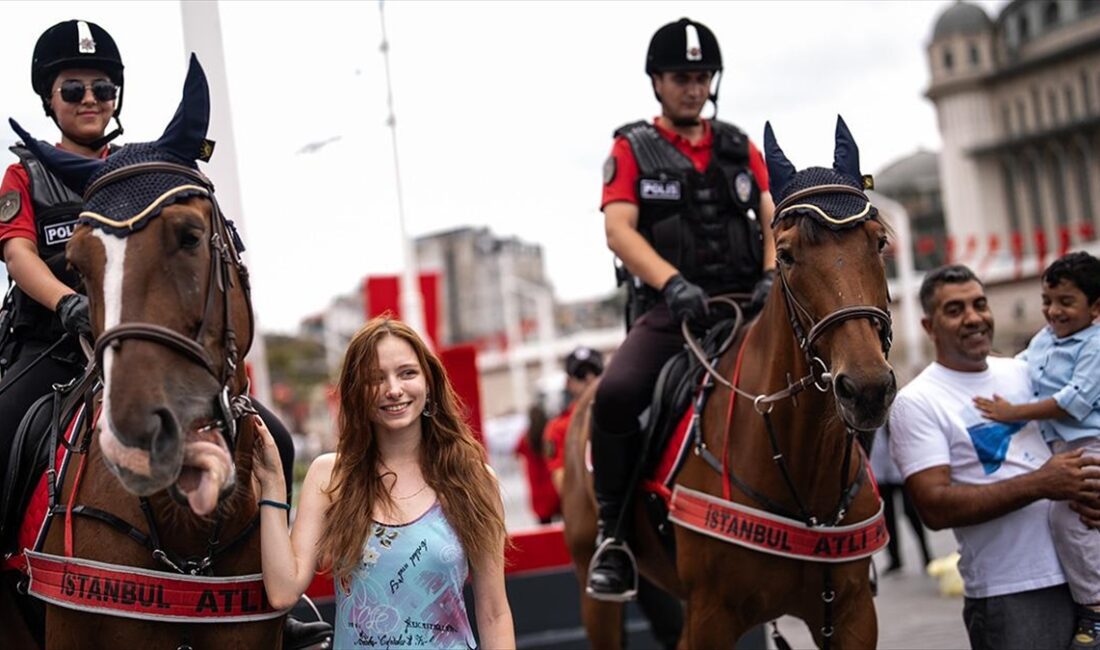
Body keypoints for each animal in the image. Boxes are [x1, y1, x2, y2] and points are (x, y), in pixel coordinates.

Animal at [563, 118, 897, 650]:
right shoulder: (710, 619)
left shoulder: (851, 615)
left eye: (879, 242)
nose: (865, 387)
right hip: (595, 594)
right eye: (787, 256)